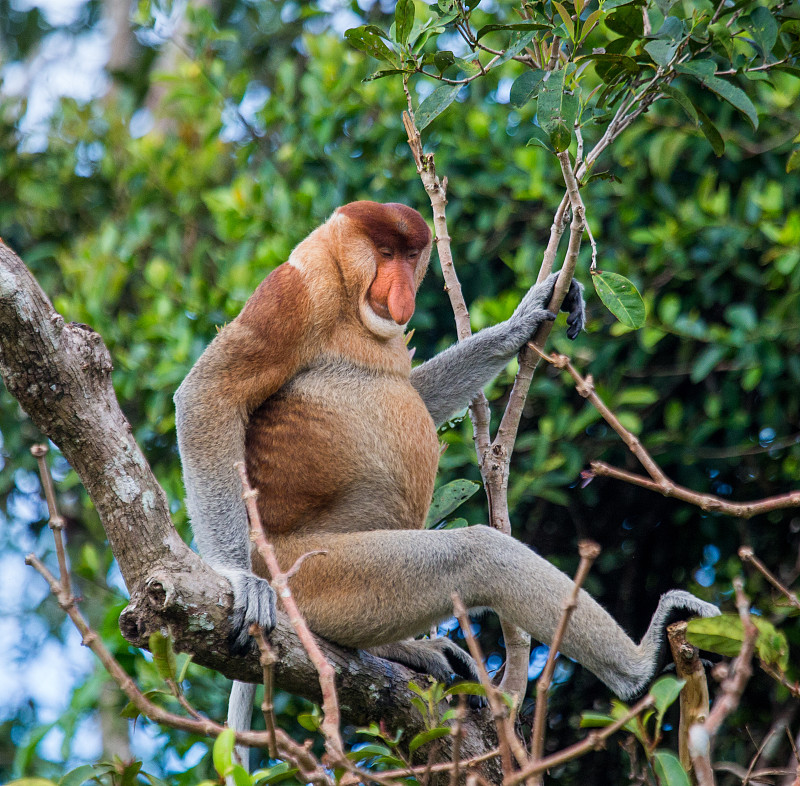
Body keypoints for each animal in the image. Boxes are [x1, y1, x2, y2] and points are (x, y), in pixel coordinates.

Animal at [177, 201, 720, 764]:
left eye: (411, 255)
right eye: (384, 252)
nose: (400, 291)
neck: (348, 293)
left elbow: (416, 392)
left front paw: (524, 318)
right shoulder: (297, 292)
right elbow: (212, 392)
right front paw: (238, 580)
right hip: (309, 574)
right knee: (476, 555)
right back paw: (639, 668)